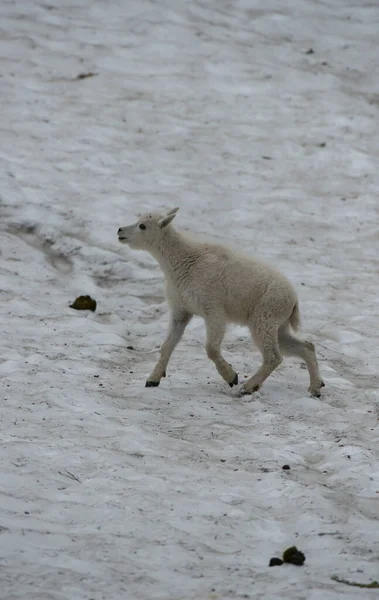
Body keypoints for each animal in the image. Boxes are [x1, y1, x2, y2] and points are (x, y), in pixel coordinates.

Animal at [117, 209, 326, 396]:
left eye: (142, 226)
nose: (120, 231)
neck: (181, 260)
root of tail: (293, 300)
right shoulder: (181, 311)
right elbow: (167, 345)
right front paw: (153, 379)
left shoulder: (213, 310)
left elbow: (211, 348)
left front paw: (231, 376)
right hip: (277, 325)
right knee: (306, 346)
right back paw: (315, 387)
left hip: (264, 318)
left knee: (274, 357)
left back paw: (248, 387)